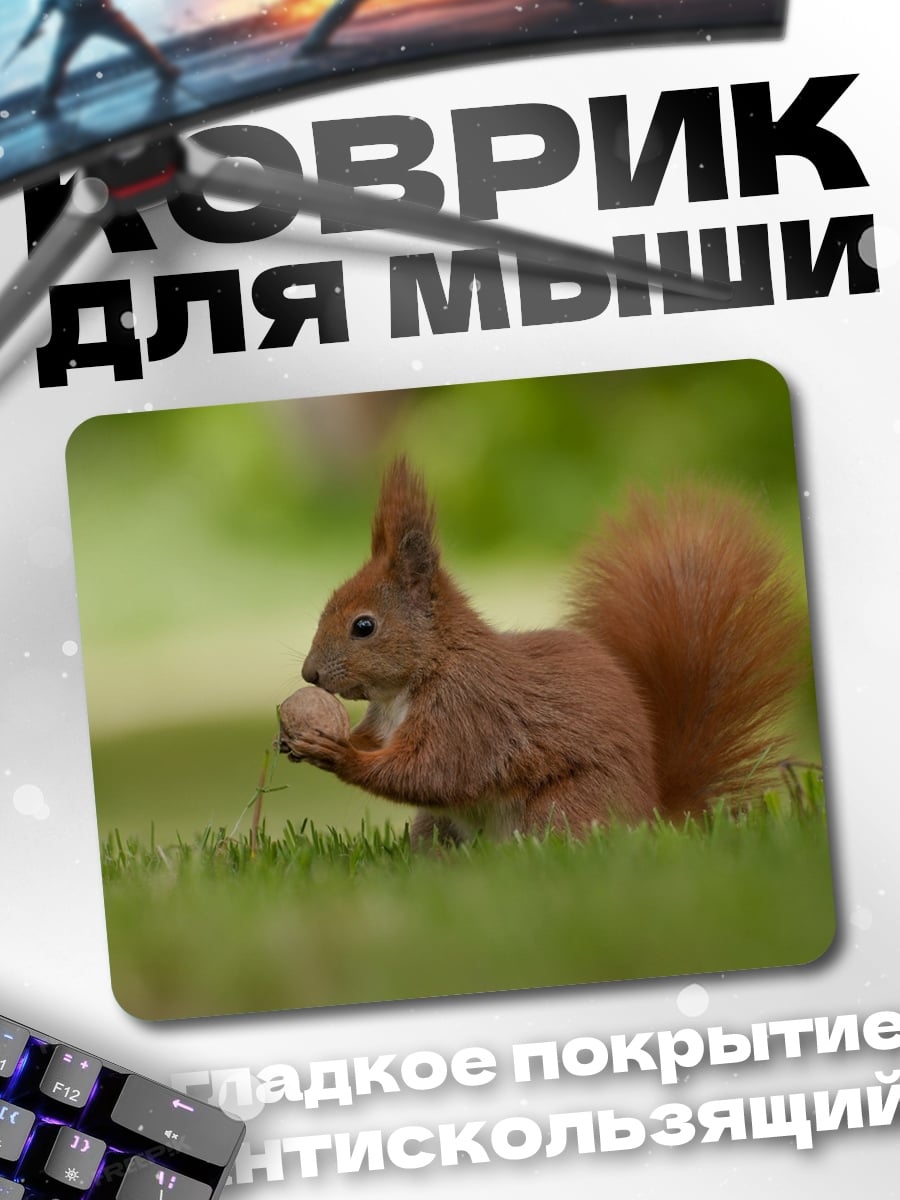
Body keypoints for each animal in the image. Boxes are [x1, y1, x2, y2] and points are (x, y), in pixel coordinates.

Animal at [290, 456, 806, 845]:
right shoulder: (387, 721)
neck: (416, 679)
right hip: (437, 828)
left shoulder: (469, 713)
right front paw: (304, 739)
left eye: (364, 626)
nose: (309, 675)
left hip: (559, 808)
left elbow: (433, 772)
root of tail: (652, 816)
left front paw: (338, 753)